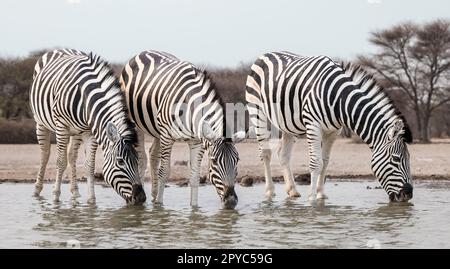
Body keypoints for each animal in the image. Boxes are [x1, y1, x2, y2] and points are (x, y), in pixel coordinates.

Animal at [30, 48, 146, 203]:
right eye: (120, 161)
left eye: (137, 160)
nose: (141, 198)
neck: (85, 96)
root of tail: (61, 50)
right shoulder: (61, 125)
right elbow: (61, 161)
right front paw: (55, 197)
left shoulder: (90, 131)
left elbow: (90, 165)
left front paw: (91, 201)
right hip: (41, 122)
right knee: (45, 154)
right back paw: (37, 191)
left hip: (76, 131)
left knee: (71, 156)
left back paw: (75, 192)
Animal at [119, 50, 244, 209]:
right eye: (214, 161)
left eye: (237, 160)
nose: (231, 201)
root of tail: (143, 52)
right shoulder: (167, 136)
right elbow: (164, 172)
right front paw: (159, 207)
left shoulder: (197, 141)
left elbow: (195, 176)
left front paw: (194, 208)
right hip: (137, 124)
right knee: (141, 158)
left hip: (156, 129)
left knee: (153, 154)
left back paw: (153, 195)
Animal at [248, 50, 414, 201]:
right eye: (396, 159)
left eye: (409, 158)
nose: (408, 194)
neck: (339, 100)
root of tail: (267, 53)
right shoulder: (313, 125)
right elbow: (316, 163)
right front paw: (312, 198)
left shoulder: (333, 131)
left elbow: (325, 161)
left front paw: (321, 194)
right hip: (257, 111)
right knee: (265, 153)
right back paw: (269, 192)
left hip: (287, 124)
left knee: (283, 155)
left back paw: (292, 191)